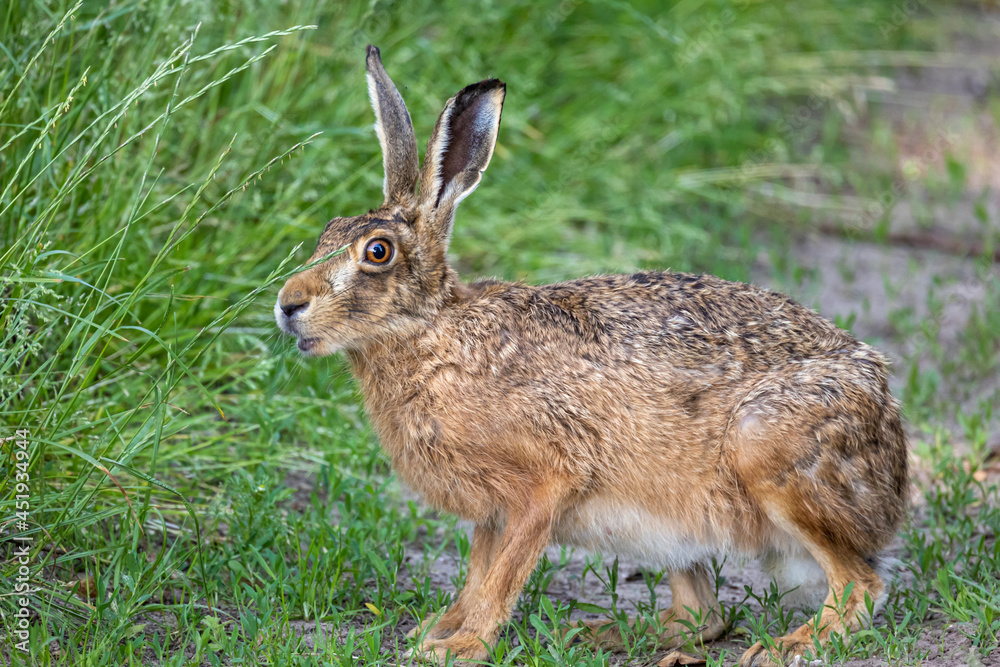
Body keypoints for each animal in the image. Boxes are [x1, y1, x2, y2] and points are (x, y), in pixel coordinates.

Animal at [274, 45, 908, 667]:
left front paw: (458, 647)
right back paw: (604, 635)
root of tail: (893, 458)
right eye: (328, 229)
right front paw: (439, 629)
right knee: (702, 616)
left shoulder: (547, 481)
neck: (432, 333)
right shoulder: (491, 511)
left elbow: (502, 576)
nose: (287, 304)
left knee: (860, 585)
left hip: (769, 448)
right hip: (675, 524)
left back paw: (790, 645)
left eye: (377, 252)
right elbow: (477, 573)